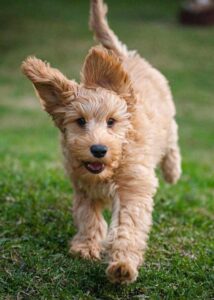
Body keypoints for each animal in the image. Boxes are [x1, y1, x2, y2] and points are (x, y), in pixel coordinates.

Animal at [21, 0, 181, 284]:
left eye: (112, 121)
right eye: (80, 121)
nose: (98, 149)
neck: (114, 162)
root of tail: (125, 55)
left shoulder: (133, 188)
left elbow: (128, 227)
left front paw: (123, 265)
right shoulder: (84, 187)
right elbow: (88, 216)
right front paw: (86, 245)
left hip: (167, 116)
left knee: (172, 138)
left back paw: (173, 170)